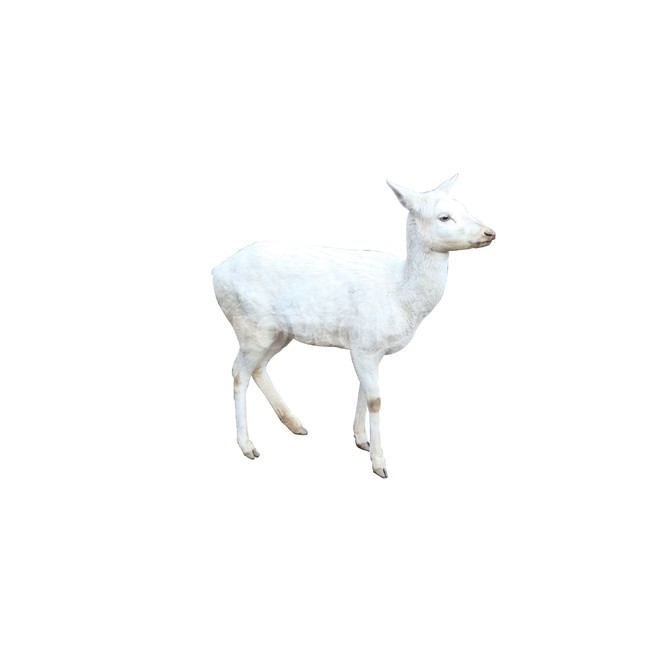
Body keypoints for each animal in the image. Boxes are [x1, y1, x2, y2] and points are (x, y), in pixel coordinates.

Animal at [211, 175, 495, 478]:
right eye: (444, 216)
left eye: (464, 207)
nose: (490, 232)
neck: (400, 295)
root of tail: (216, 271)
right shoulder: (365, 344)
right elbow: (376, 399)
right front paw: (379, 463)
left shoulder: (367, 346)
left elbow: (363, 390)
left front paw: (361, 440)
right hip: (250, 326)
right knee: (238, 372)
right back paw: (248, 446)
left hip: (278, 333)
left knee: (258, 368)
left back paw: (295, 424)